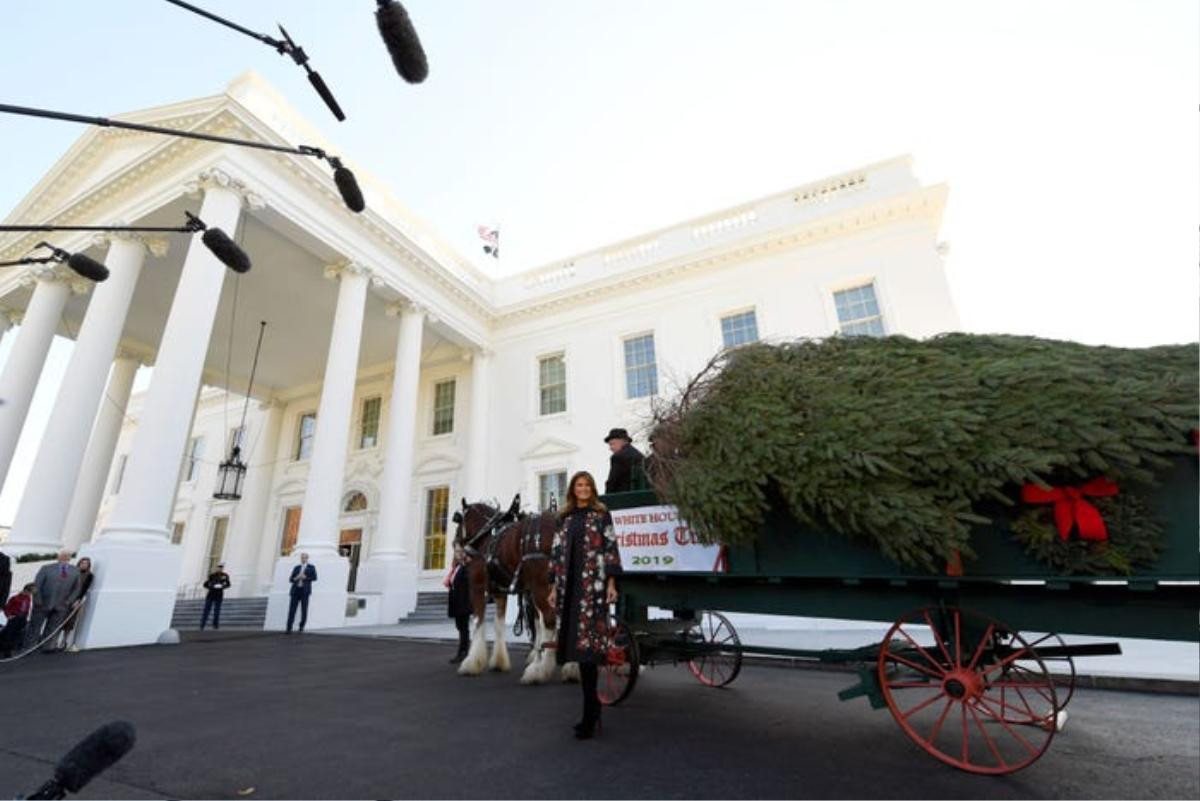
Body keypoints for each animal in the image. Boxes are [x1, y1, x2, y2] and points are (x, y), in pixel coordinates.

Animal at [453, 494, 576, 681]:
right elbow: (499, 624)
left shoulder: (477, 588)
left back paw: (540, 671)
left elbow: (478, 622)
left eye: (459, 521)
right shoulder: (500, 592)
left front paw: (472, 662)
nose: (455, 546)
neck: (487, 536)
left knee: (550, 620)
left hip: (541, 586)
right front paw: (499, 661)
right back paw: (570, 668)